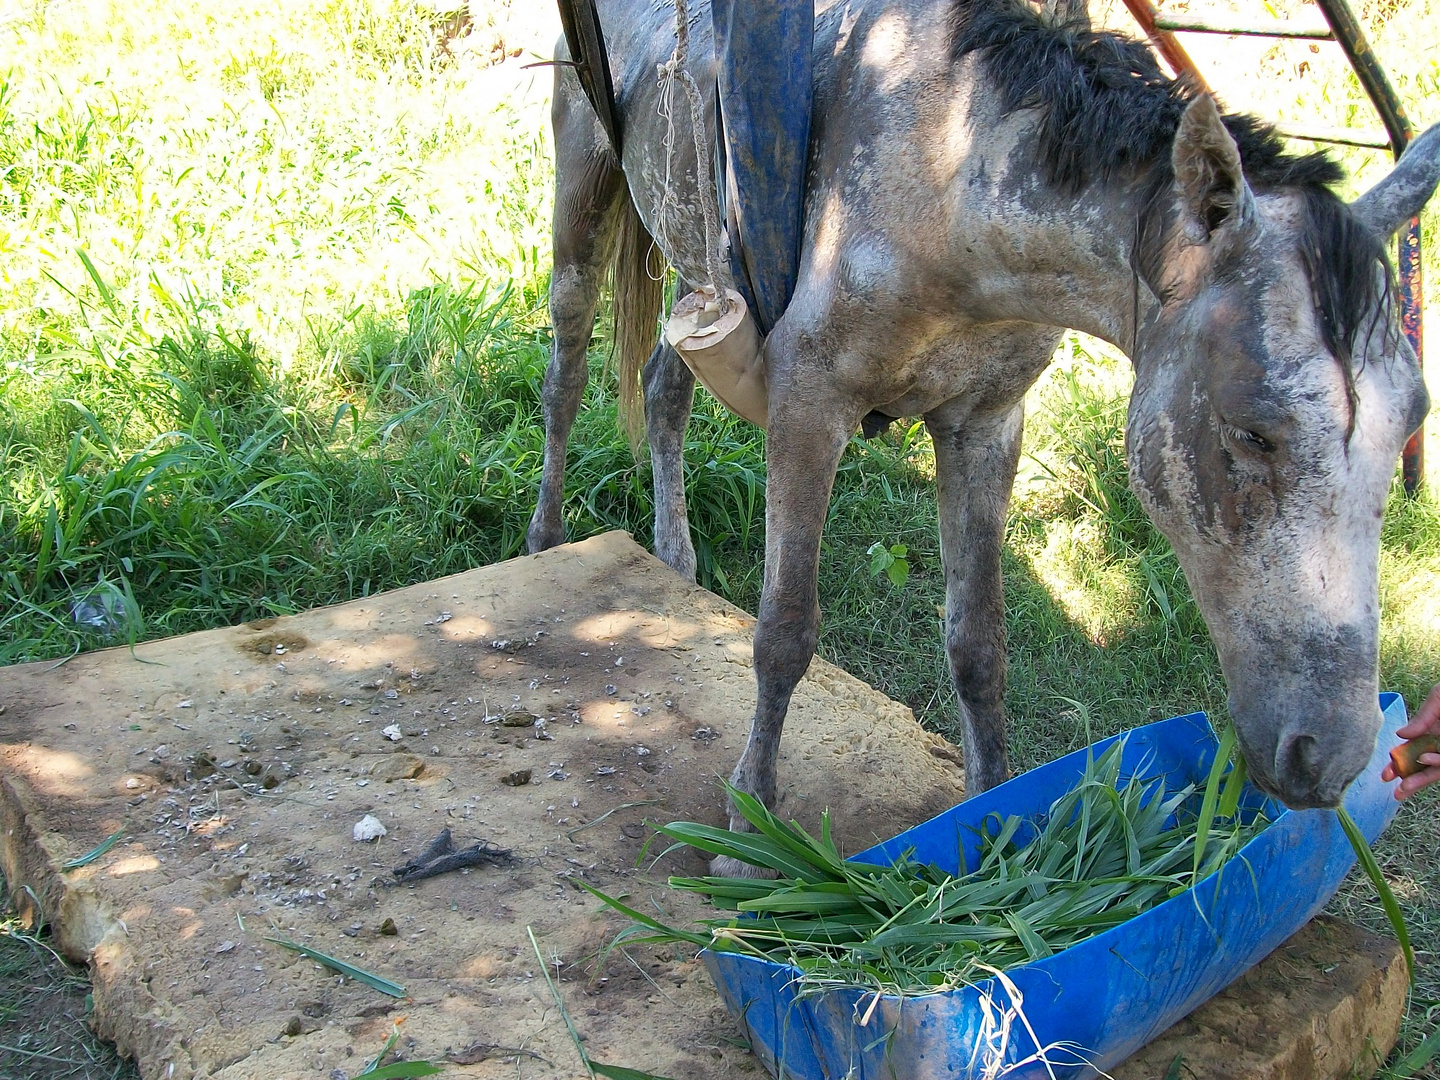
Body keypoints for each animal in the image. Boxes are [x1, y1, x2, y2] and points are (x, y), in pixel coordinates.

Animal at [529, 0, 1440, 835]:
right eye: (1252, 432)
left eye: (1411, 423)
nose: (1328, 757)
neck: (945, 174)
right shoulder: (809, 407)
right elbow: (784, 632)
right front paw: (748, 829)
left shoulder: (986, 425)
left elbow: (979, 645)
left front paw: (991, 815)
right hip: (582, 198)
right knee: (565, 378)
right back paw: (545, 540)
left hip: (693, 260)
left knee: (663, 387)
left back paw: (676, 561)